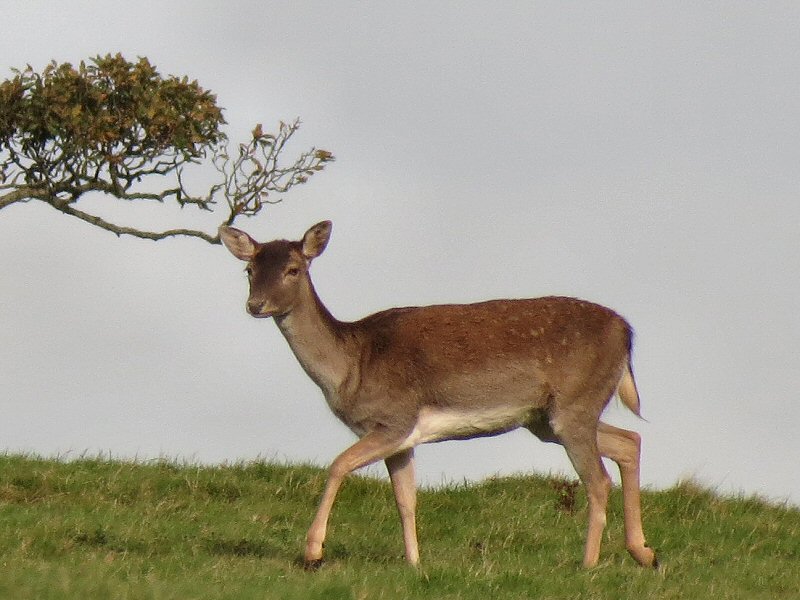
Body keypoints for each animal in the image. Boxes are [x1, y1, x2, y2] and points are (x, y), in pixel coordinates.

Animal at [219, 223, 656, 568]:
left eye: (293, 269)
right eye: (249, 269)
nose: (255, 304)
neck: (353, 365)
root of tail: (626, 332)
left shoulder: (395, 418)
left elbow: (338, 465)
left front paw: (313, 552)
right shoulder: (401, 440)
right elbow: (405, 499)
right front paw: (414, 563)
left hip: (574, 403)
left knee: (598, 479)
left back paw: (588, 563)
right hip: (546, 419)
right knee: (629, 441)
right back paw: (645, 553)